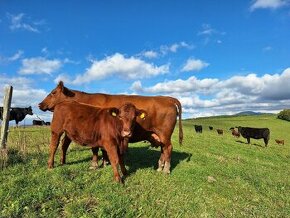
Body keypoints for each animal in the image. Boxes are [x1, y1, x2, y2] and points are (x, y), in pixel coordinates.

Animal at [38, 81, 182, 175]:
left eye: (53, 92)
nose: (40, 104)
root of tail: (168, 98)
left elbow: (95, 149)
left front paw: (95, 165)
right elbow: (102, 150)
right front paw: (105, 162)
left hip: (165, 133)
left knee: (168, 148)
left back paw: (166, 169)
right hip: (159, 135)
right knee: (164, 149)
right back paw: (160, 166)